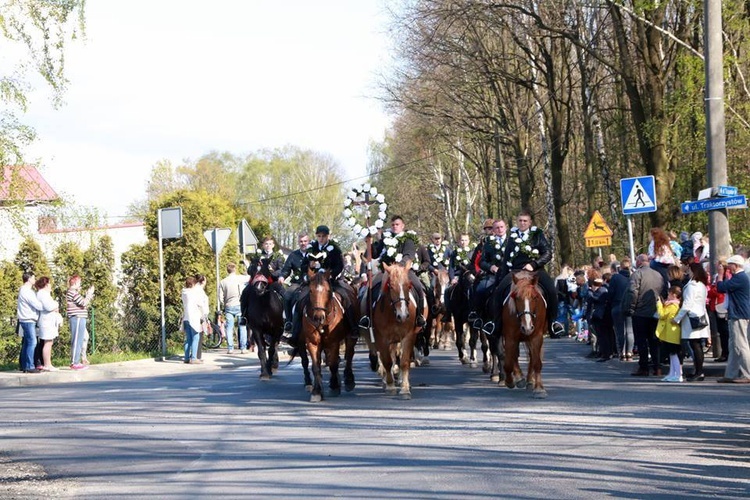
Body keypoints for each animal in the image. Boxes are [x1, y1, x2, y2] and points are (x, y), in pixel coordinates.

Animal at [302, 270, 358, 402]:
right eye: (310, 290)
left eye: (328, 290)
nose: (318, 317)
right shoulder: (312, 343)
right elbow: (316, 367)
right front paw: (317, 391)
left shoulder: (334, 342)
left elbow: (333, 364)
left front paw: (334, 386)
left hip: (349, 337)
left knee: (349, 354)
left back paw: (348, 380)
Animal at [372, 262, 428, 398]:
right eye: (391, 286)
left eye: (408, 286)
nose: (402, 315)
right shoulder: (382, 338)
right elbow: (387, 361)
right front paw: (390, 385)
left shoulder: (409, 336)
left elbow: (404, 361)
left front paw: (405, 388)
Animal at [502, 270, 548, 398]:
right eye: (517, 297)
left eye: (535, 297)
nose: (527, 327)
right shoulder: (510, 337)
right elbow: (508, 362)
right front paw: (510, 381)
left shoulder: (537, 336)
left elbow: (537, 362)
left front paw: (539, 388)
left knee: (531, 356)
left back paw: (529, 381)